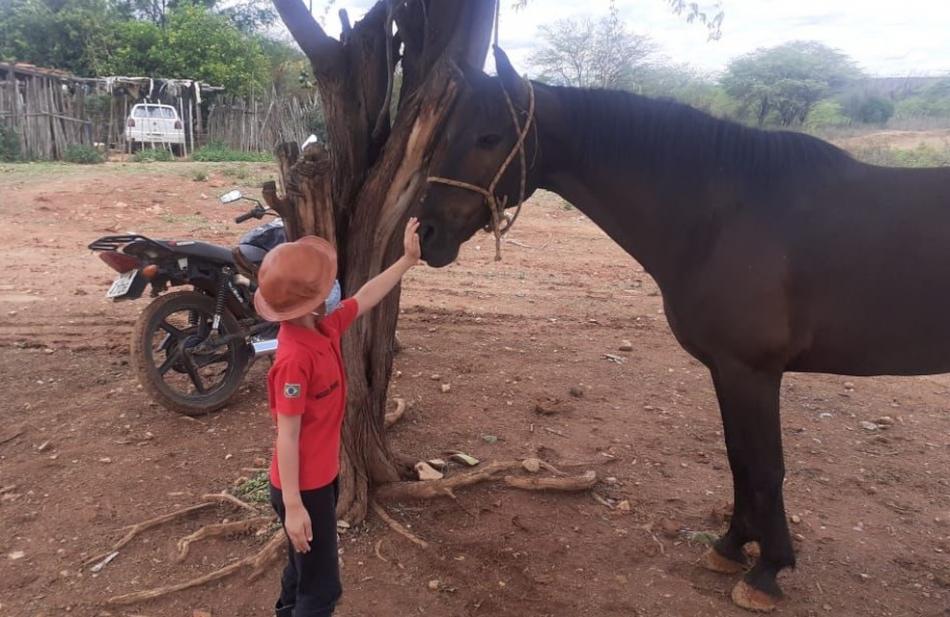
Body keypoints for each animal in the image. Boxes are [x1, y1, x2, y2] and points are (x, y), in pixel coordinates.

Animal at [412, 48, 950, 612]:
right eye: (447, 135)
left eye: (489, 137)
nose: (426, 234)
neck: (725, 216)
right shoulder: (727, 371)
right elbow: (738, 460)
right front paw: (731, 547)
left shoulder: (752, 372)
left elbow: (766, 468)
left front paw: (767, 571)